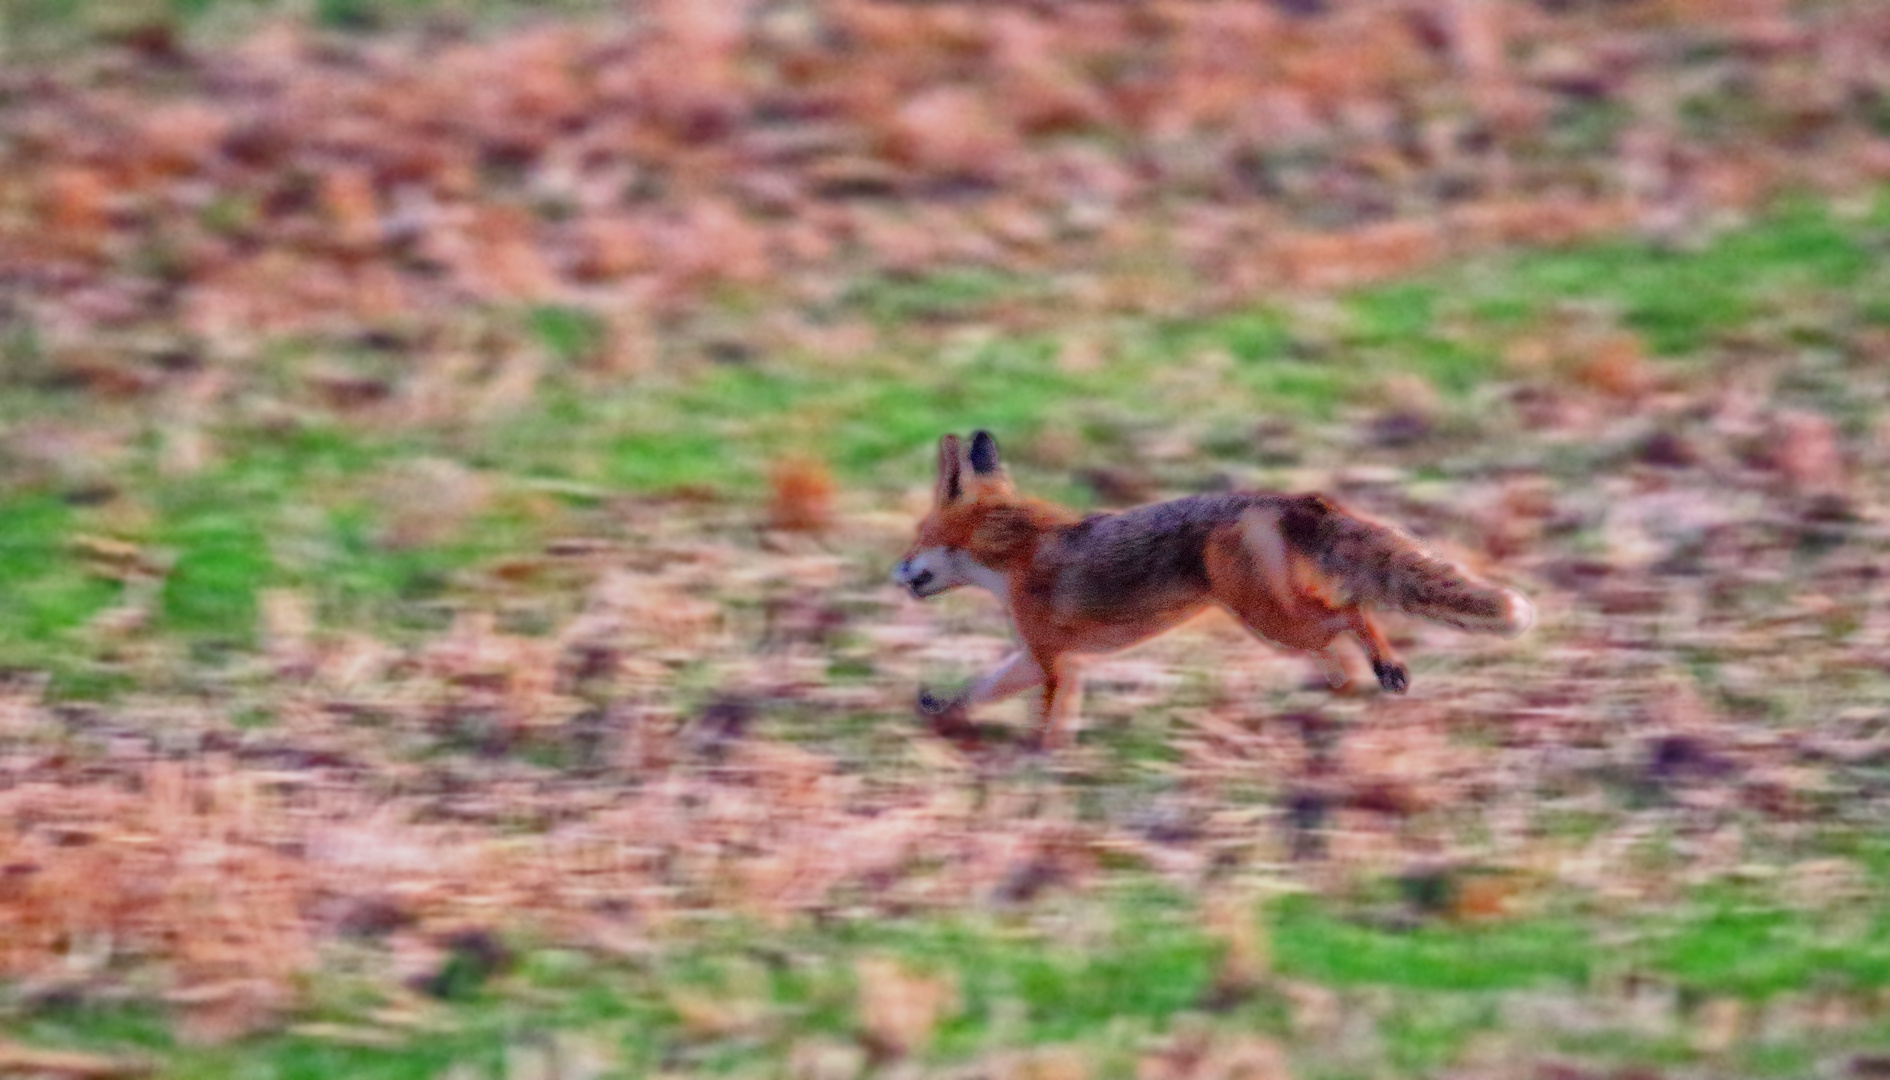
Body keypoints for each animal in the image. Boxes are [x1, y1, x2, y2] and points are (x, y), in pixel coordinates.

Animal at [892, 431, 1527, 752]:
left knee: (1352, 611)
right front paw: (944, 713)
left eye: (918, 536)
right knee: (1338, 636)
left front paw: (1044, 763)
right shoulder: (1037, 655)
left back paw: (1384, 670)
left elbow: (1049, 721)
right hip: (1276, 616)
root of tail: (1285, 497)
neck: (1016, 556)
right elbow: (978, 689)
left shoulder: (1055, 663)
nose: (895, 571)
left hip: (1269, 618)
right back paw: (1341, 687)